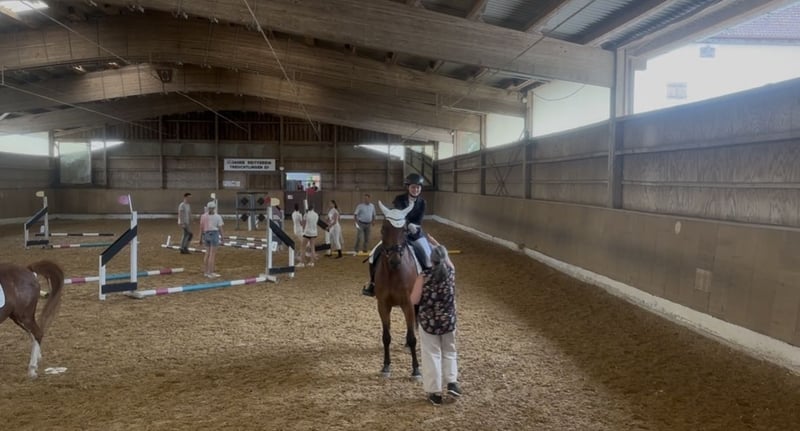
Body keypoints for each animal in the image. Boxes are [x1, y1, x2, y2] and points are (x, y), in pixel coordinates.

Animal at [374, 201, 421, 379]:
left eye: (405, 230)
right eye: (383, 228)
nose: (394, 260)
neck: (394, 273)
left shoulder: (408, 304)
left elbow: (413, 337)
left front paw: (416, 369)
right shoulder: (383, 305)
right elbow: (386, 337)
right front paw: (386, 366)